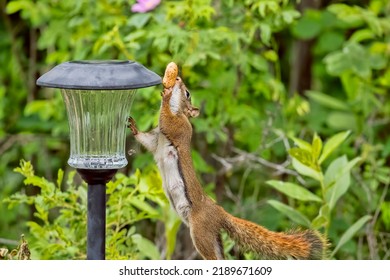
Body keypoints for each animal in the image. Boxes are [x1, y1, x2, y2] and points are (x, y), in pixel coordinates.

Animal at [128, 62, 326, 260]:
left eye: (187, 93)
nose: (177, 78)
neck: (179, 113)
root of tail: (219, 213)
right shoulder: (156, 140)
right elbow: (147, 140)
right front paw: (134, 127)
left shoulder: (180, 129)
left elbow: (167, 120)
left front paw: (167, 96)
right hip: (212, 238)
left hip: (201, 233)